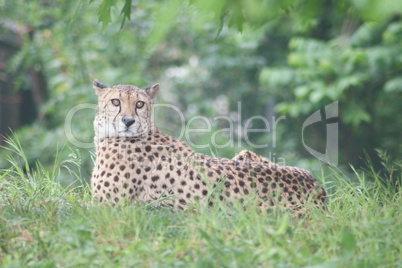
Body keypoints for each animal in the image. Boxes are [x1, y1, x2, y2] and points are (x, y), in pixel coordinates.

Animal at [91, 79, 326, 214]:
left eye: (139, 104)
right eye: (115, 102)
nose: (128, 121)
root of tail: (319, 192)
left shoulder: (107, 207)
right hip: (245, 154)